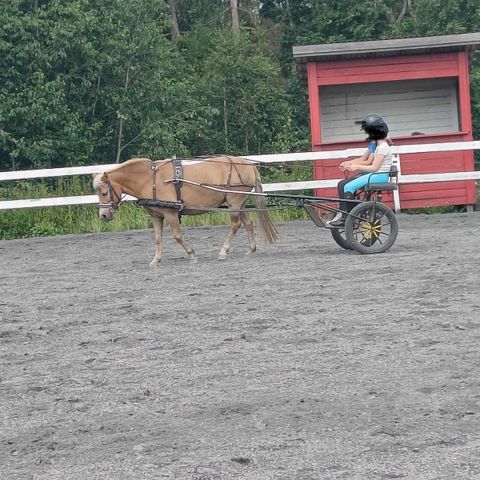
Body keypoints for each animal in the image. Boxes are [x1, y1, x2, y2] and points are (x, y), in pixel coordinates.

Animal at [93, 156, 278, 264]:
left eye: (104, 192)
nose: (103, 215)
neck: (150, 180)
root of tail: (248, 164)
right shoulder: (156, 216)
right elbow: (158, 238)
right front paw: (156, 259)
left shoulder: (171, 213)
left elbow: (177, 236)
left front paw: (191, 254)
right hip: (239, 203)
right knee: (248, 223)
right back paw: (251, 249)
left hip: (234, 202)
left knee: (235, 225)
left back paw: (223, 251)